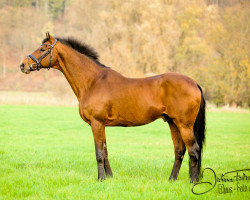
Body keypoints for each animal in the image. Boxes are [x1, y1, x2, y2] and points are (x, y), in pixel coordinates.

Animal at [20, 32, 206, 182]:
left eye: (43, 48)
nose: (23, 65)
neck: (93, 81)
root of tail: (194, 83)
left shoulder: (96, 123)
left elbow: (99, 153)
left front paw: (100, 179)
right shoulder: (102, 125)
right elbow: (105, 150)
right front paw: (109, 177)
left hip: (184, 125)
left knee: (194, 150)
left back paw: (193, 181)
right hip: (173, 123)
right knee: (179, 150)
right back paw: (172, 179)